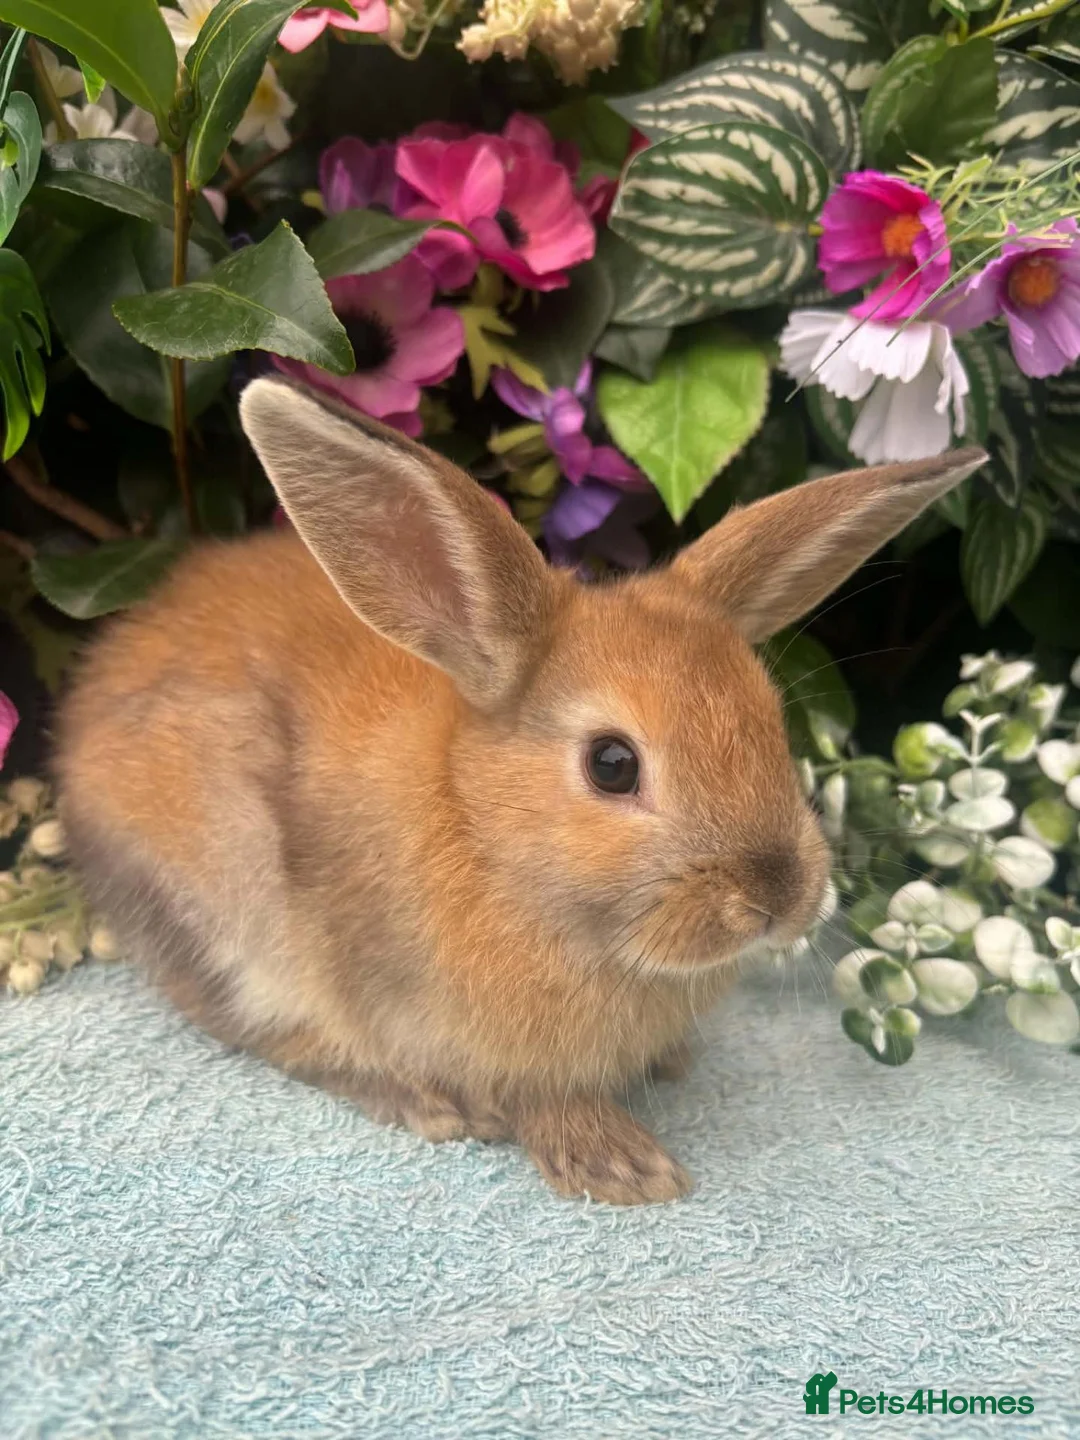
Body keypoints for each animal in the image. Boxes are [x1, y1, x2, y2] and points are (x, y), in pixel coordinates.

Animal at [54, 376, 986, 1205]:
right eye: (612, 765)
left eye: (771, 723)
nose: (779, 897)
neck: (483, 834)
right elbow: (531, 1097)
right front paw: (622, 1168)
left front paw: (666, 1068)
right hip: (228, 900)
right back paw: (421, 1106)